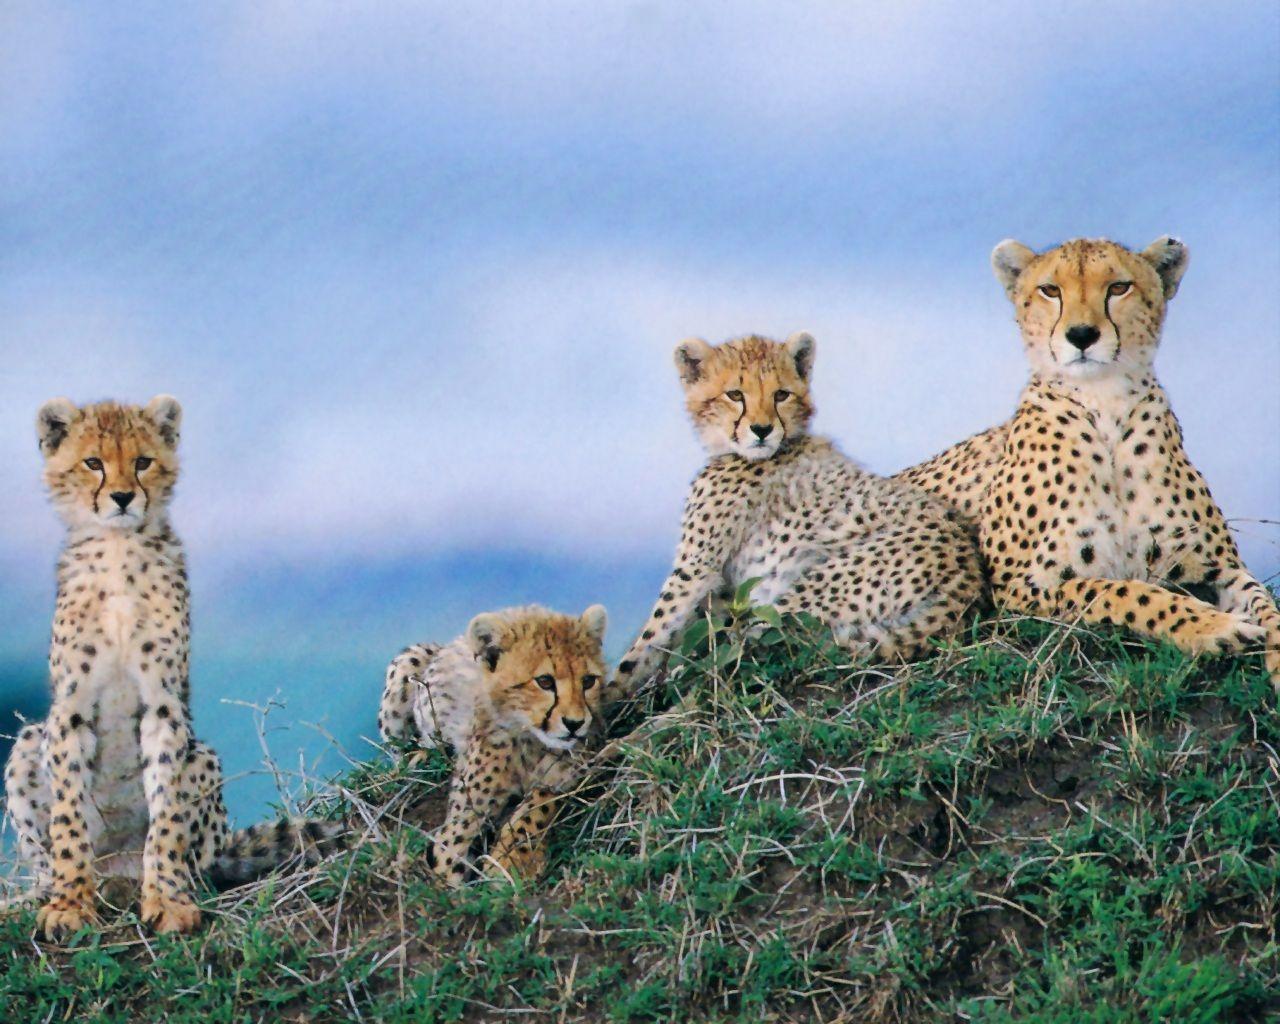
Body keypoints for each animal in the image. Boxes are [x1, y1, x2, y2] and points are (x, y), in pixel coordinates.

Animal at [4, 395, 339, 939]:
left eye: (143, 462)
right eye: (93, 462)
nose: (122, 497)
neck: (118, 550)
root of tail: (117, 869)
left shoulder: (163, 705)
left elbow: (166, 816)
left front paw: (166, 899)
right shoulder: (70, 710)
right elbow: (68, 818)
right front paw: (70, 904)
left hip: (202, 757)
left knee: (193, 857)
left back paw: (145, 885)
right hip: (31, 742)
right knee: (51, 856)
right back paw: (51, 894)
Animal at [379, 604, 608, 886]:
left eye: (588, 681)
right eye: (544, 681)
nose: (575, 723)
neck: (529, 740)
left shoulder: (569, 771)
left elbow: (539, 804)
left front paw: (514, 858)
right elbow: (448, 852)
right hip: (408, 666)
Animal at [897, 236, 1278, 682]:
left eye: (1118, 288)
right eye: (1050, 290)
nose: (1082, 334)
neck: (1104, 401)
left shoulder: (1220, 568)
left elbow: (1267, 606)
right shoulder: (1015, 592)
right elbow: (1116, 590)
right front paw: (1211, 626)